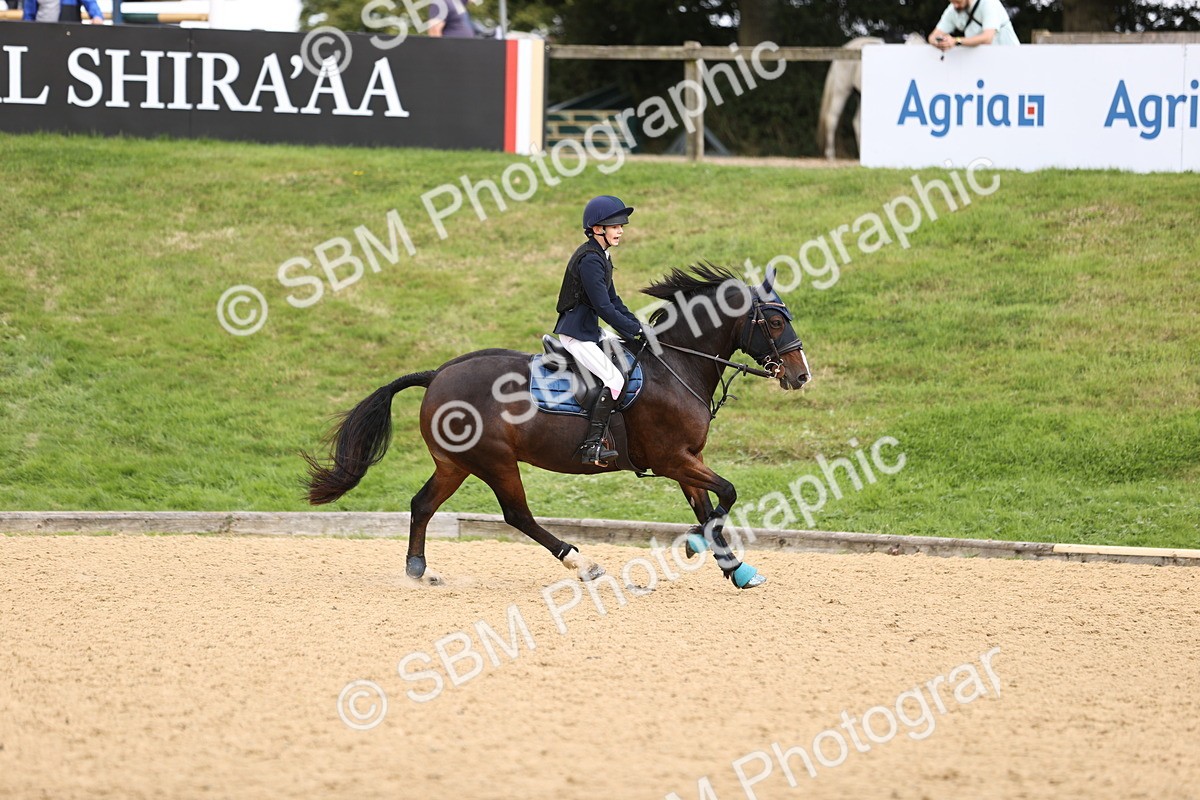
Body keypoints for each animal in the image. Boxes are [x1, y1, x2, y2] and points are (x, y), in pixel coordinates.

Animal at [302, 265, 811, 590]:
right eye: (774, 320)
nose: (801, 374)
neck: (676, 366)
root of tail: (438, 375)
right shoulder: (672, 459)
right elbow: (726, 495)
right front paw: (694, 546)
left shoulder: (689, 459)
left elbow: (709, 511)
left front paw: (736, 570)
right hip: (495, 460)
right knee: (517, 515)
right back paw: (582, 564)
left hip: (455, 463)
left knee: (422, 504)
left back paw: (419, 570)